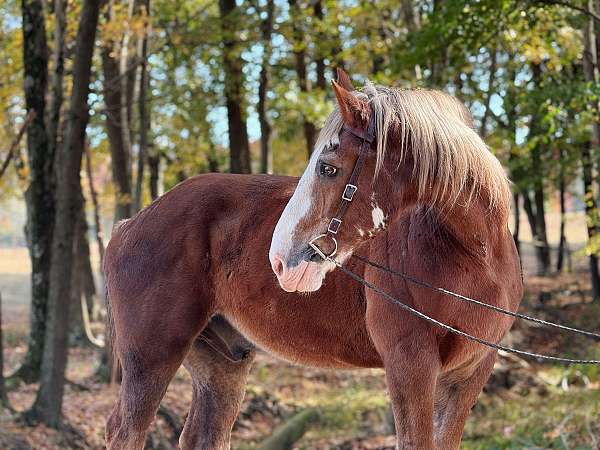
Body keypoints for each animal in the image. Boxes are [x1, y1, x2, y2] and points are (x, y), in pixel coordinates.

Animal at [105, 71, 524, 450]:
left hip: (222, 363)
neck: (476, 255)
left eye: (327, 168)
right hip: (152, 355)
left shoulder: (469, 373)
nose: (278, 260)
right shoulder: (411, 367)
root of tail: (129, 223)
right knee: (125, 430)